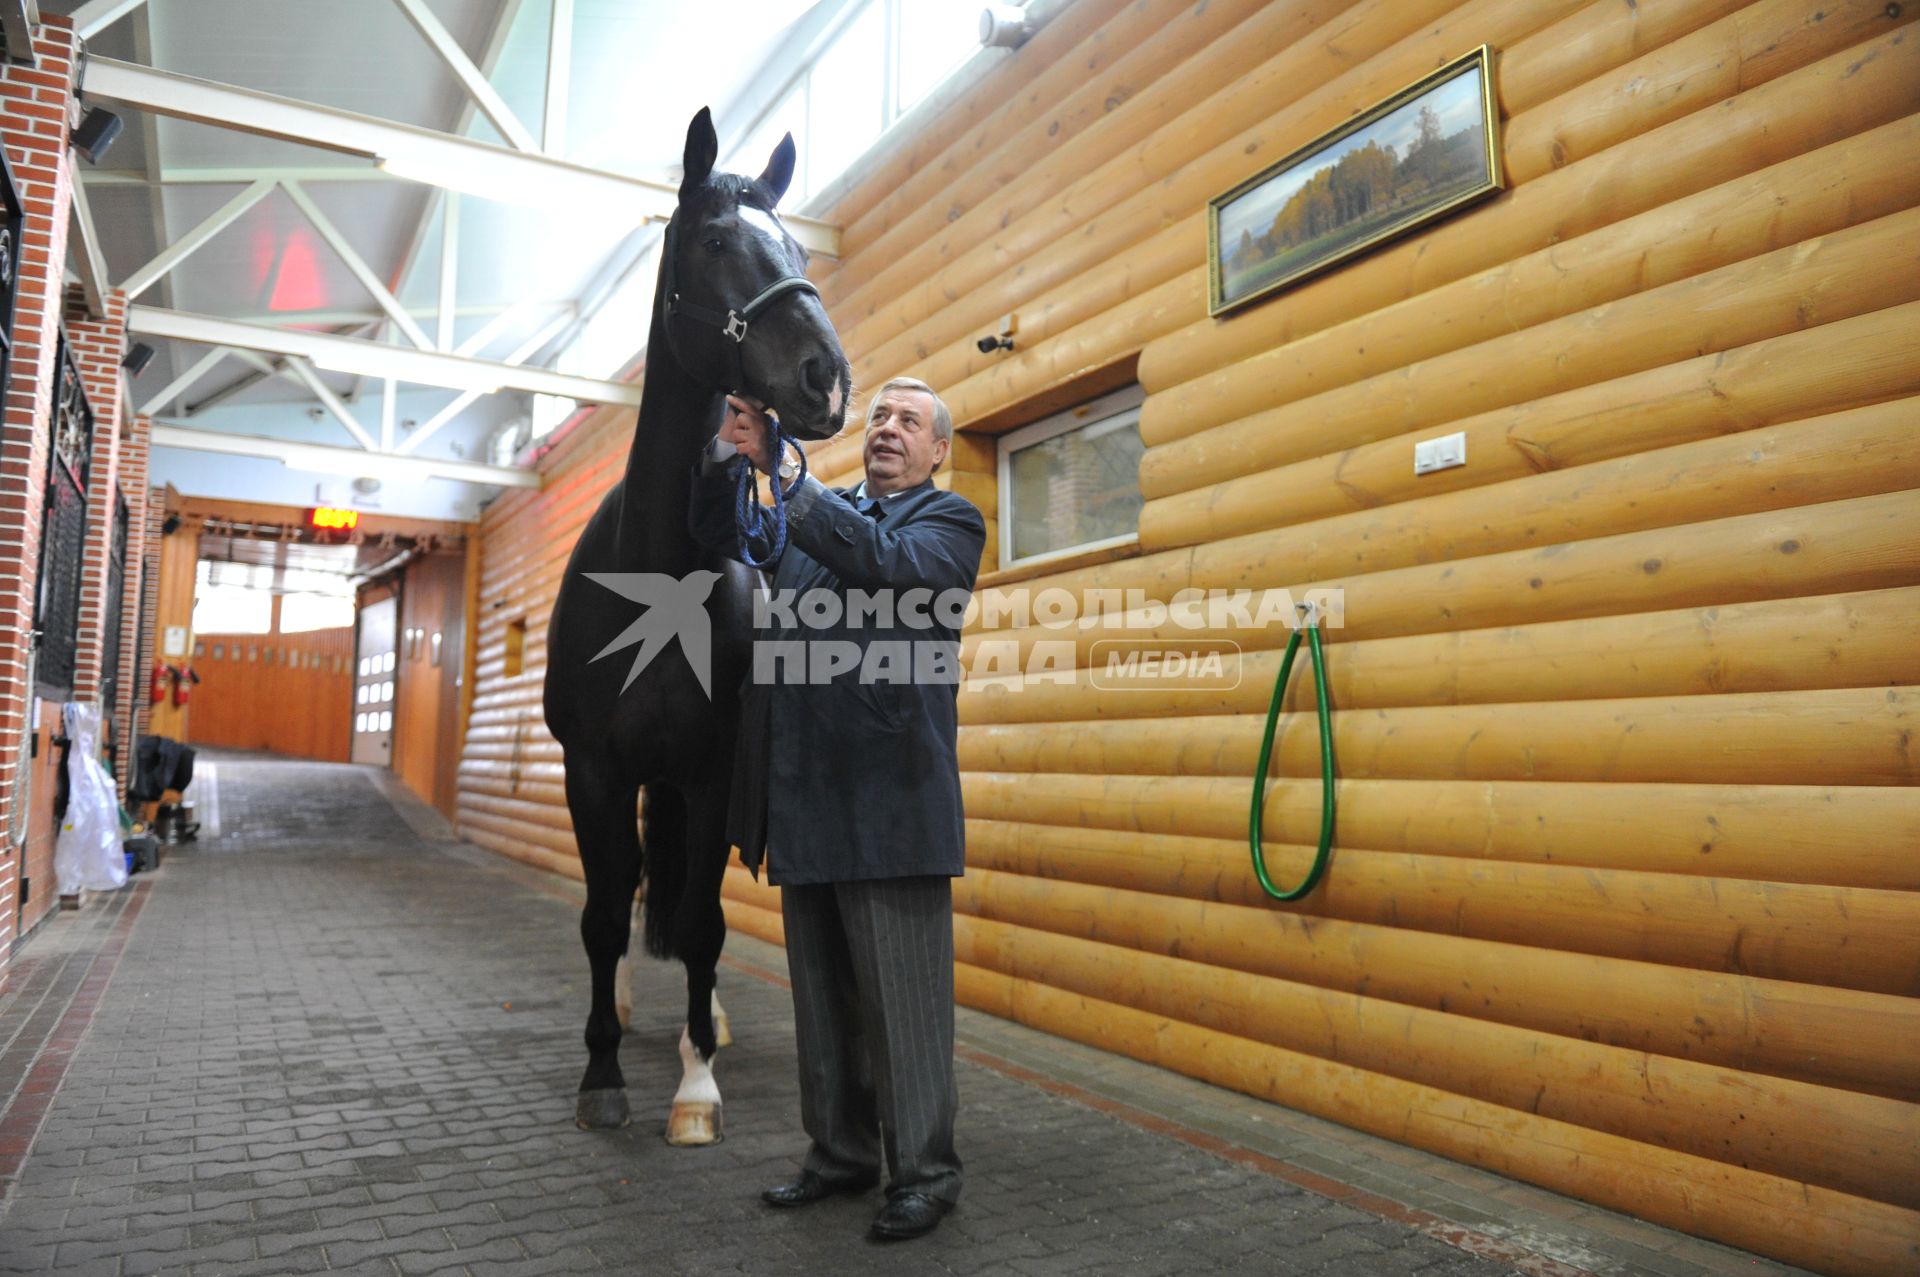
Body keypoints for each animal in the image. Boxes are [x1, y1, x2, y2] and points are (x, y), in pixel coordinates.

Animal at [541, 104, 840, 1129]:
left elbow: (704, 919)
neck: (661, 566)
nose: (826, 375)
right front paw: (600, 1073)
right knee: (627, 887)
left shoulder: (712, 772)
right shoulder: (593, 768)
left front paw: (696, 1082)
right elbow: (600, 913)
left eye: (797, 246)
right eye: (714, 240)